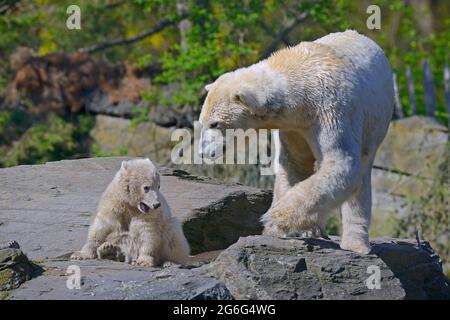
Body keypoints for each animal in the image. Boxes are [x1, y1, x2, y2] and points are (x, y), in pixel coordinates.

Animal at [200, 30, 394, 255]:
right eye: (202, 121)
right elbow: (294, 164)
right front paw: (283, 229)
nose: (203, 152)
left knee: (361, 171)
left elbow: (341, 161)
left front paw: (274, 218)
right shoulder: (294, 126)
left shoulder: (333, 109)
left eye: (215, 123)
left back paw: (356, 244)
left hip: (375, 121)